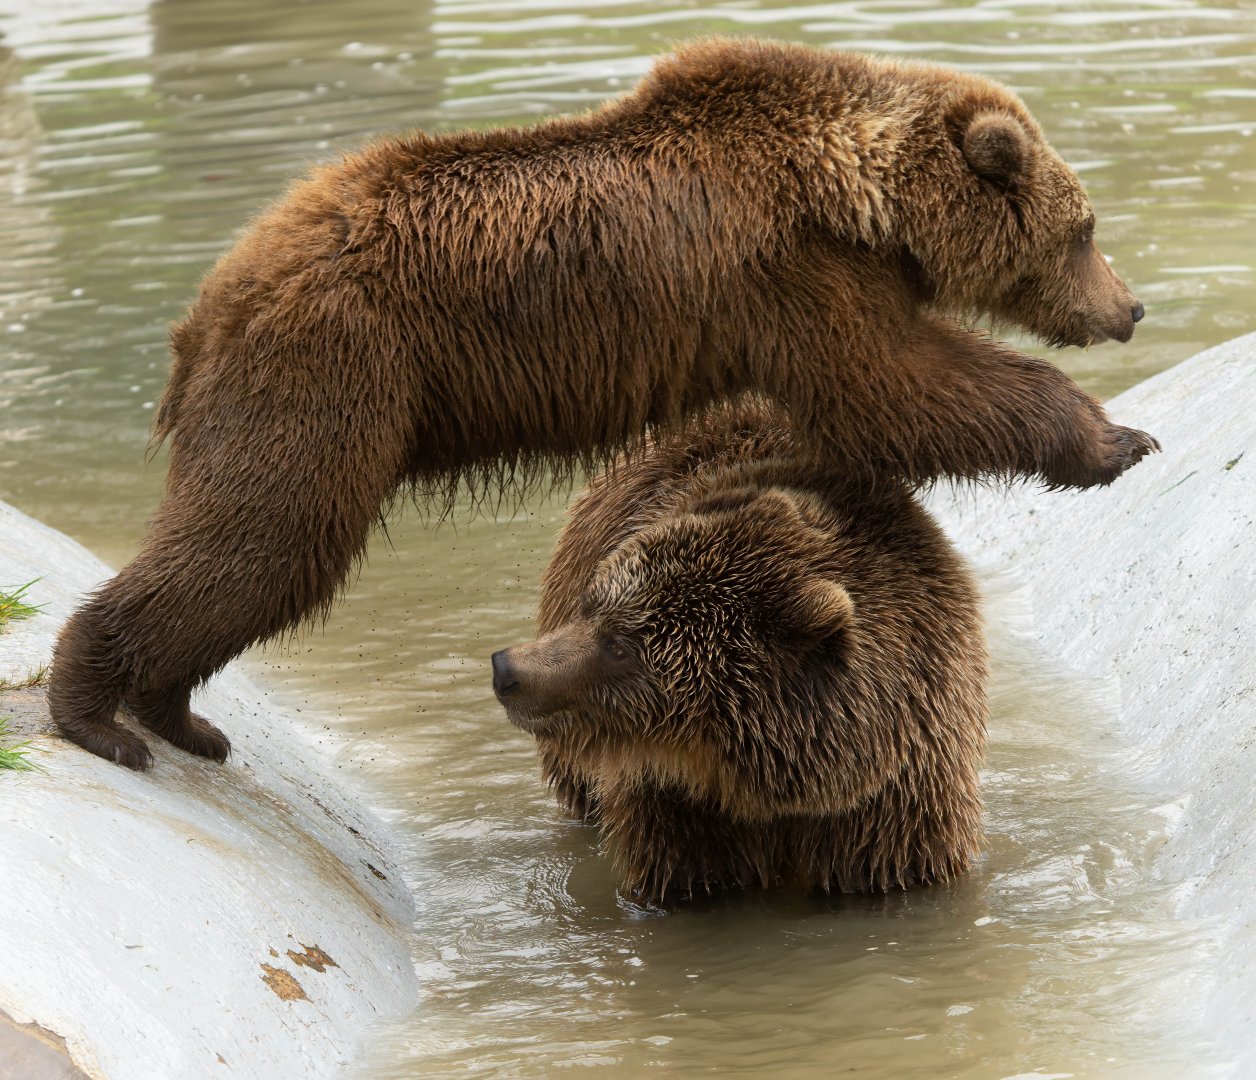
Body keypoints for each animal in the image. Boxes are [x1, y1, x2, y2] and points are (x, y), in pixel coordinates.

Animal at [48, 36, 1155, 770]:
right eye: (1084, 229)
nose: (1131, 306)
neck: (861, 192)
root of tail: (214, 296)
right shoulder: (792, 272)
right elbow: (895, 386)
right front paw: (1113, 437)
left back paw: (180, 716)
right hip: (333, 367)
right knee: (269, 532)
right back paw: (97, 710)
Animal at [491, 397, 987, 902]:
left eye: (619, 646)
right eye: (591, 607)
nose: (506, 668)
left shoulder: (895, 795)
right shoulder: (679, 804)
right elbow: (690, 874)